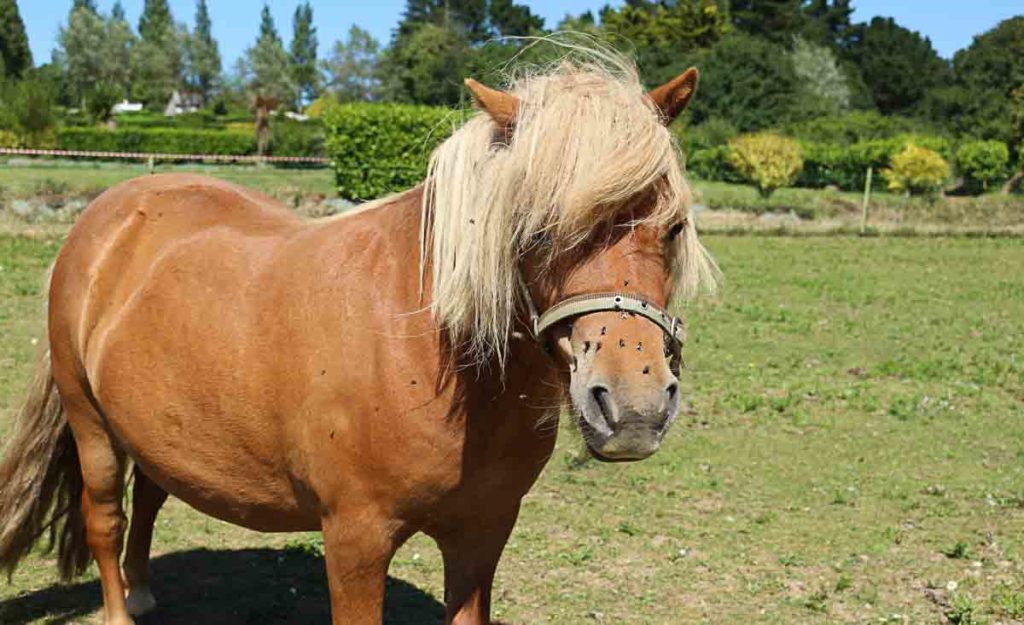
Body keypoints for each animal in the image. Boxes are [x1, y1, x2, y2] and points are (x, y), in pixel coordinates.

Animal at [0, 48, 716, 622]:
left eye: (675, 226)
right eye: (535, 229)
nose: (632, 409)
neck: (431, 354)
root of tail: (107, 216)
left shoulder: (483, 532)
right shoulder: (355, 540)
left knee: (149, 497)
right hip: (91, 424)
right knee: (105, 518)